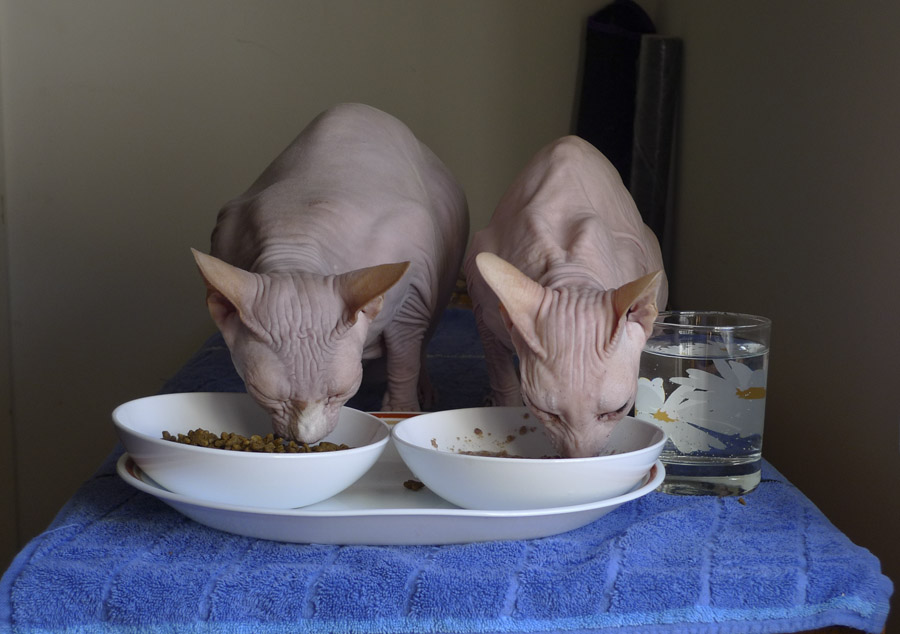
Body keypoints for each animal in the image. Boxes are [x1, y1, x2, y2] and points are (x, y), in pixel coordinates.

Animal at [192, 102, 468, 440]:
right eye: (267, 395)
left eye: (339, 393)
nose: (307, 438)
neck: (297, 236)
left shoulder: (413, 292)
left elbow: (404, 357)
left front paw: (401, 409)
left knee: (421, 343)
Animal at [468, 136, 664, 456]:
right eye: (545, 411)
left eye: (618, 409)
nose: (579, 459)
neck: (571, 268)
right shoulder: (484, 311)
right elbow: (504, 383)